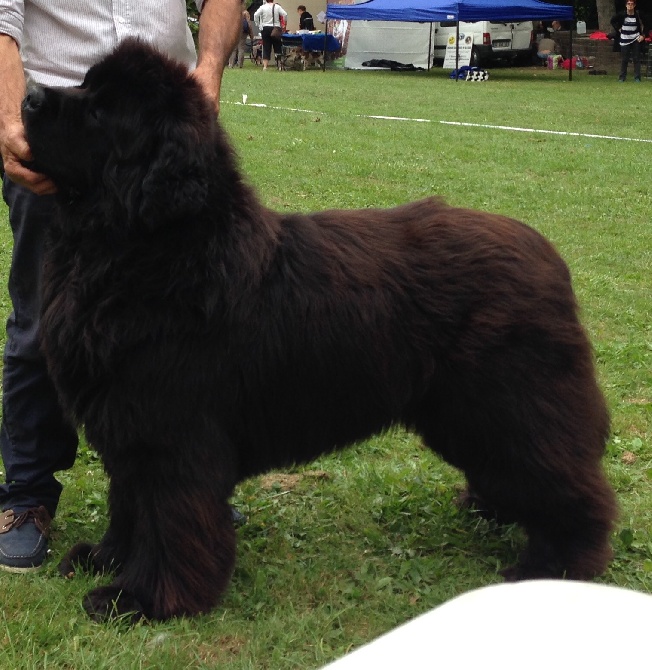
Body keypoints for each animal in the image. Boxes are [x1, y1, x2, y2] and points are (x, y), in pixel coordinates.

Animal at [22, 39, 616, 624]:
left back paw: (554, 567)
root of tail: (548, 257)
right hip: (467, 415)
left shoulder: (171, 432)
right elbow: (128, 505)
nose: (27, 97)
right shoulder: (126, 423)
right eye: (85, 85)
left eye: (102, 111)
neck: (147, 248)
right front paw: (104, 560)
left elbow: (167, 521)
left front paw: (143, 599)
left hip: (510, 407)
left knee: (569, 484)